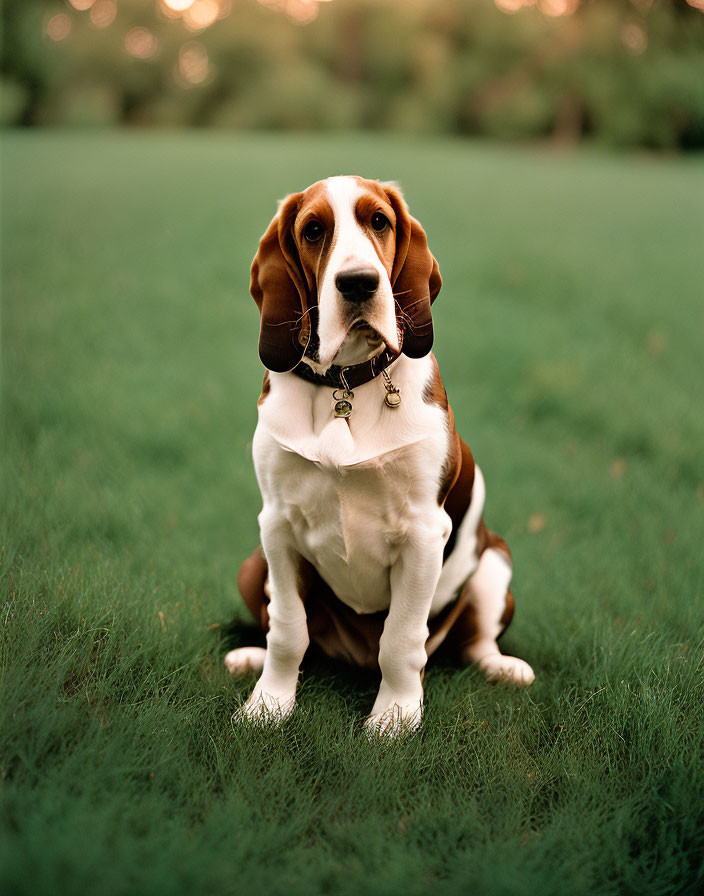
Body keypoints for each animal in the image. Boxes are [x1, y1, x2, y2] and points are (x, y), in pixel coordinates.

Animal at [226, 175, 532, 736]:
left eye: (379, 222)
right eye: (314, 229)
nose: (359, 284)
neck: (344, 385)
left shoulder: (423, 534)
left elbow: (402, 640)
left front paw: (393, 718)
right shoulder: (276, 525)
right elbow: (287, 631)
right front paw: (268, 704)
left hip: (494, 562)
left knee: (474, 642)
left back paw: (504, 667)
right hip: (251, 565)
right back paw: (250, 658)